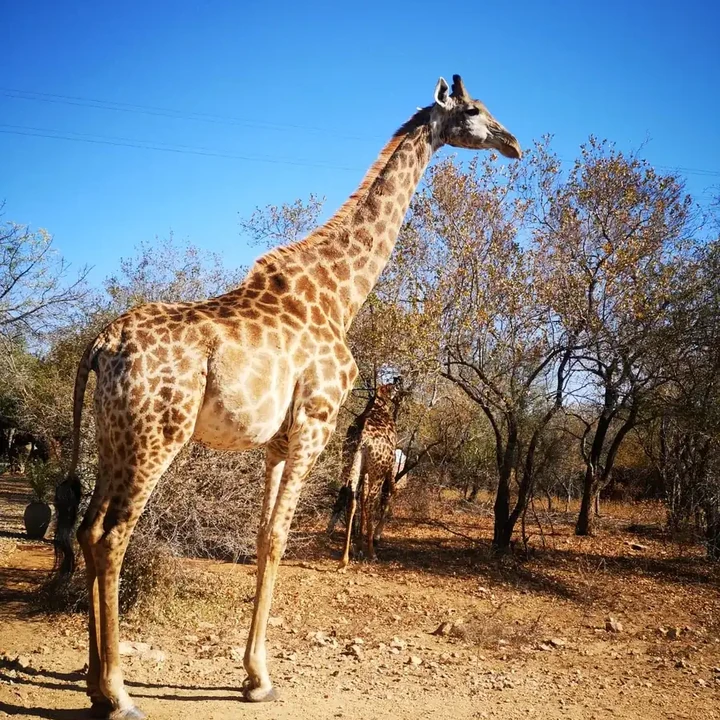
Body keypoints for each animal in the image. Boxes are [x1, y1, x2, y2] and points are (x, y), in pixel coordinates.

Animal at [327, 380, 402, 568]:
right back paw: (372, 553)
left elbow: (360, 498)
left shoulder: (364, 470)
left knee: (350, 499)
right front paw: (376, 538)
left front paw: (359, 547)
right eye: (395, 388)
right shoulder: (389, 464)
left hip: (350, 464)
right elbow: (392, 492)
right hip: (378, 471)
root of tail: (361, 438)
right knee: (369, 502)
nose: (398, 380)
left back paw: (345, 558)